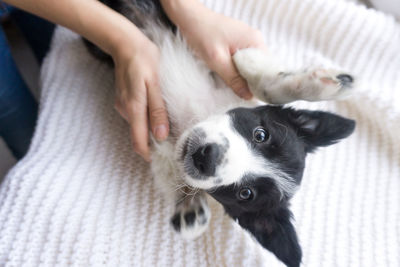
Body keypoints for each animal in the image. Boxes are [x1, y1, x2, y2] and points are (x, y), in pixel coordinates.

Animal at [86, 1, 354, 266]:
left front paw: (188, 205)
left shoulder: (159, 139)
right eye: (260, 134)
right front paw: (325, 84)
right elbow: (259, 82)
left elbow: (170, 168)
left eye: (245, 193)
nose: (207, 157)